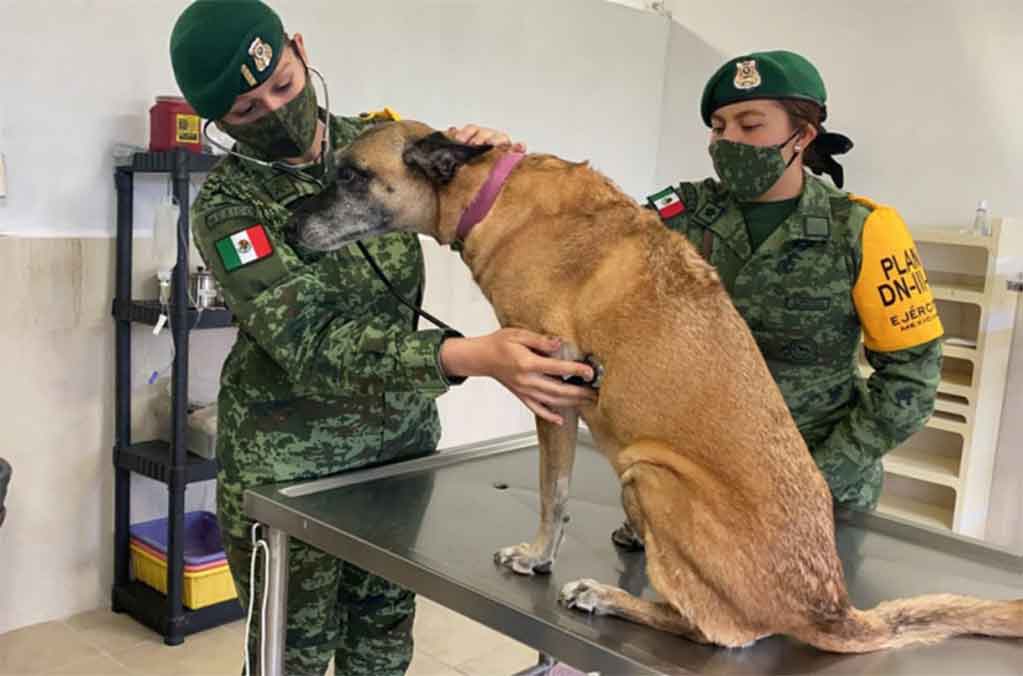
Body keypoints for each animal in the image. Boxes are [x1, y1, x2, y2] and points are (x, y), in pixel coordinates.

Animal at [290, 120, 1023, 650]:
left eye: (352, 174)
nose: (291, 229)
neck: (486, 189)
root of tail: (830, 606)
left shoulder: (553, 391)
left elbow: (552, 494)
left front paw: (537, 557)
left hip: (649, 472)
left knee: (720, 633)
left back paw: (608, 598)